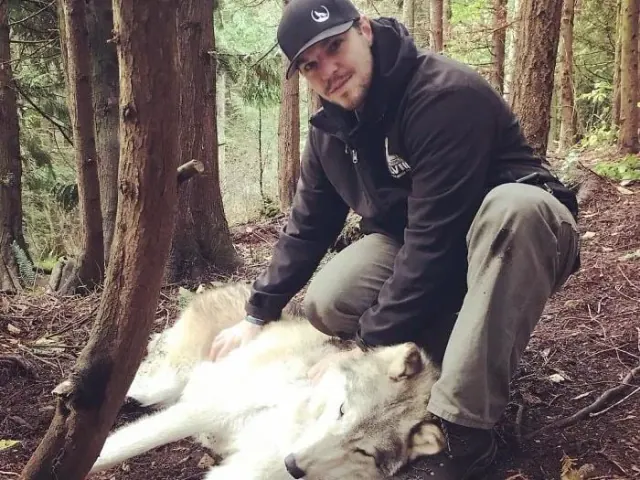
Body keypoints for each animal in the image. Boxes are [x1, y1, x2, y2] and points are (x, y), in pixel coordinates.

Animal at [89, 283, 446, 479]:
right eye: (343, 410)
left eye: (362, 451)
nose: (293, 466)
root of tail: (230, 285)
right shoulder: (207, 409)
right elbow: (118, 448)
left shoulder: (244, 469)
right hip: (166, 383)